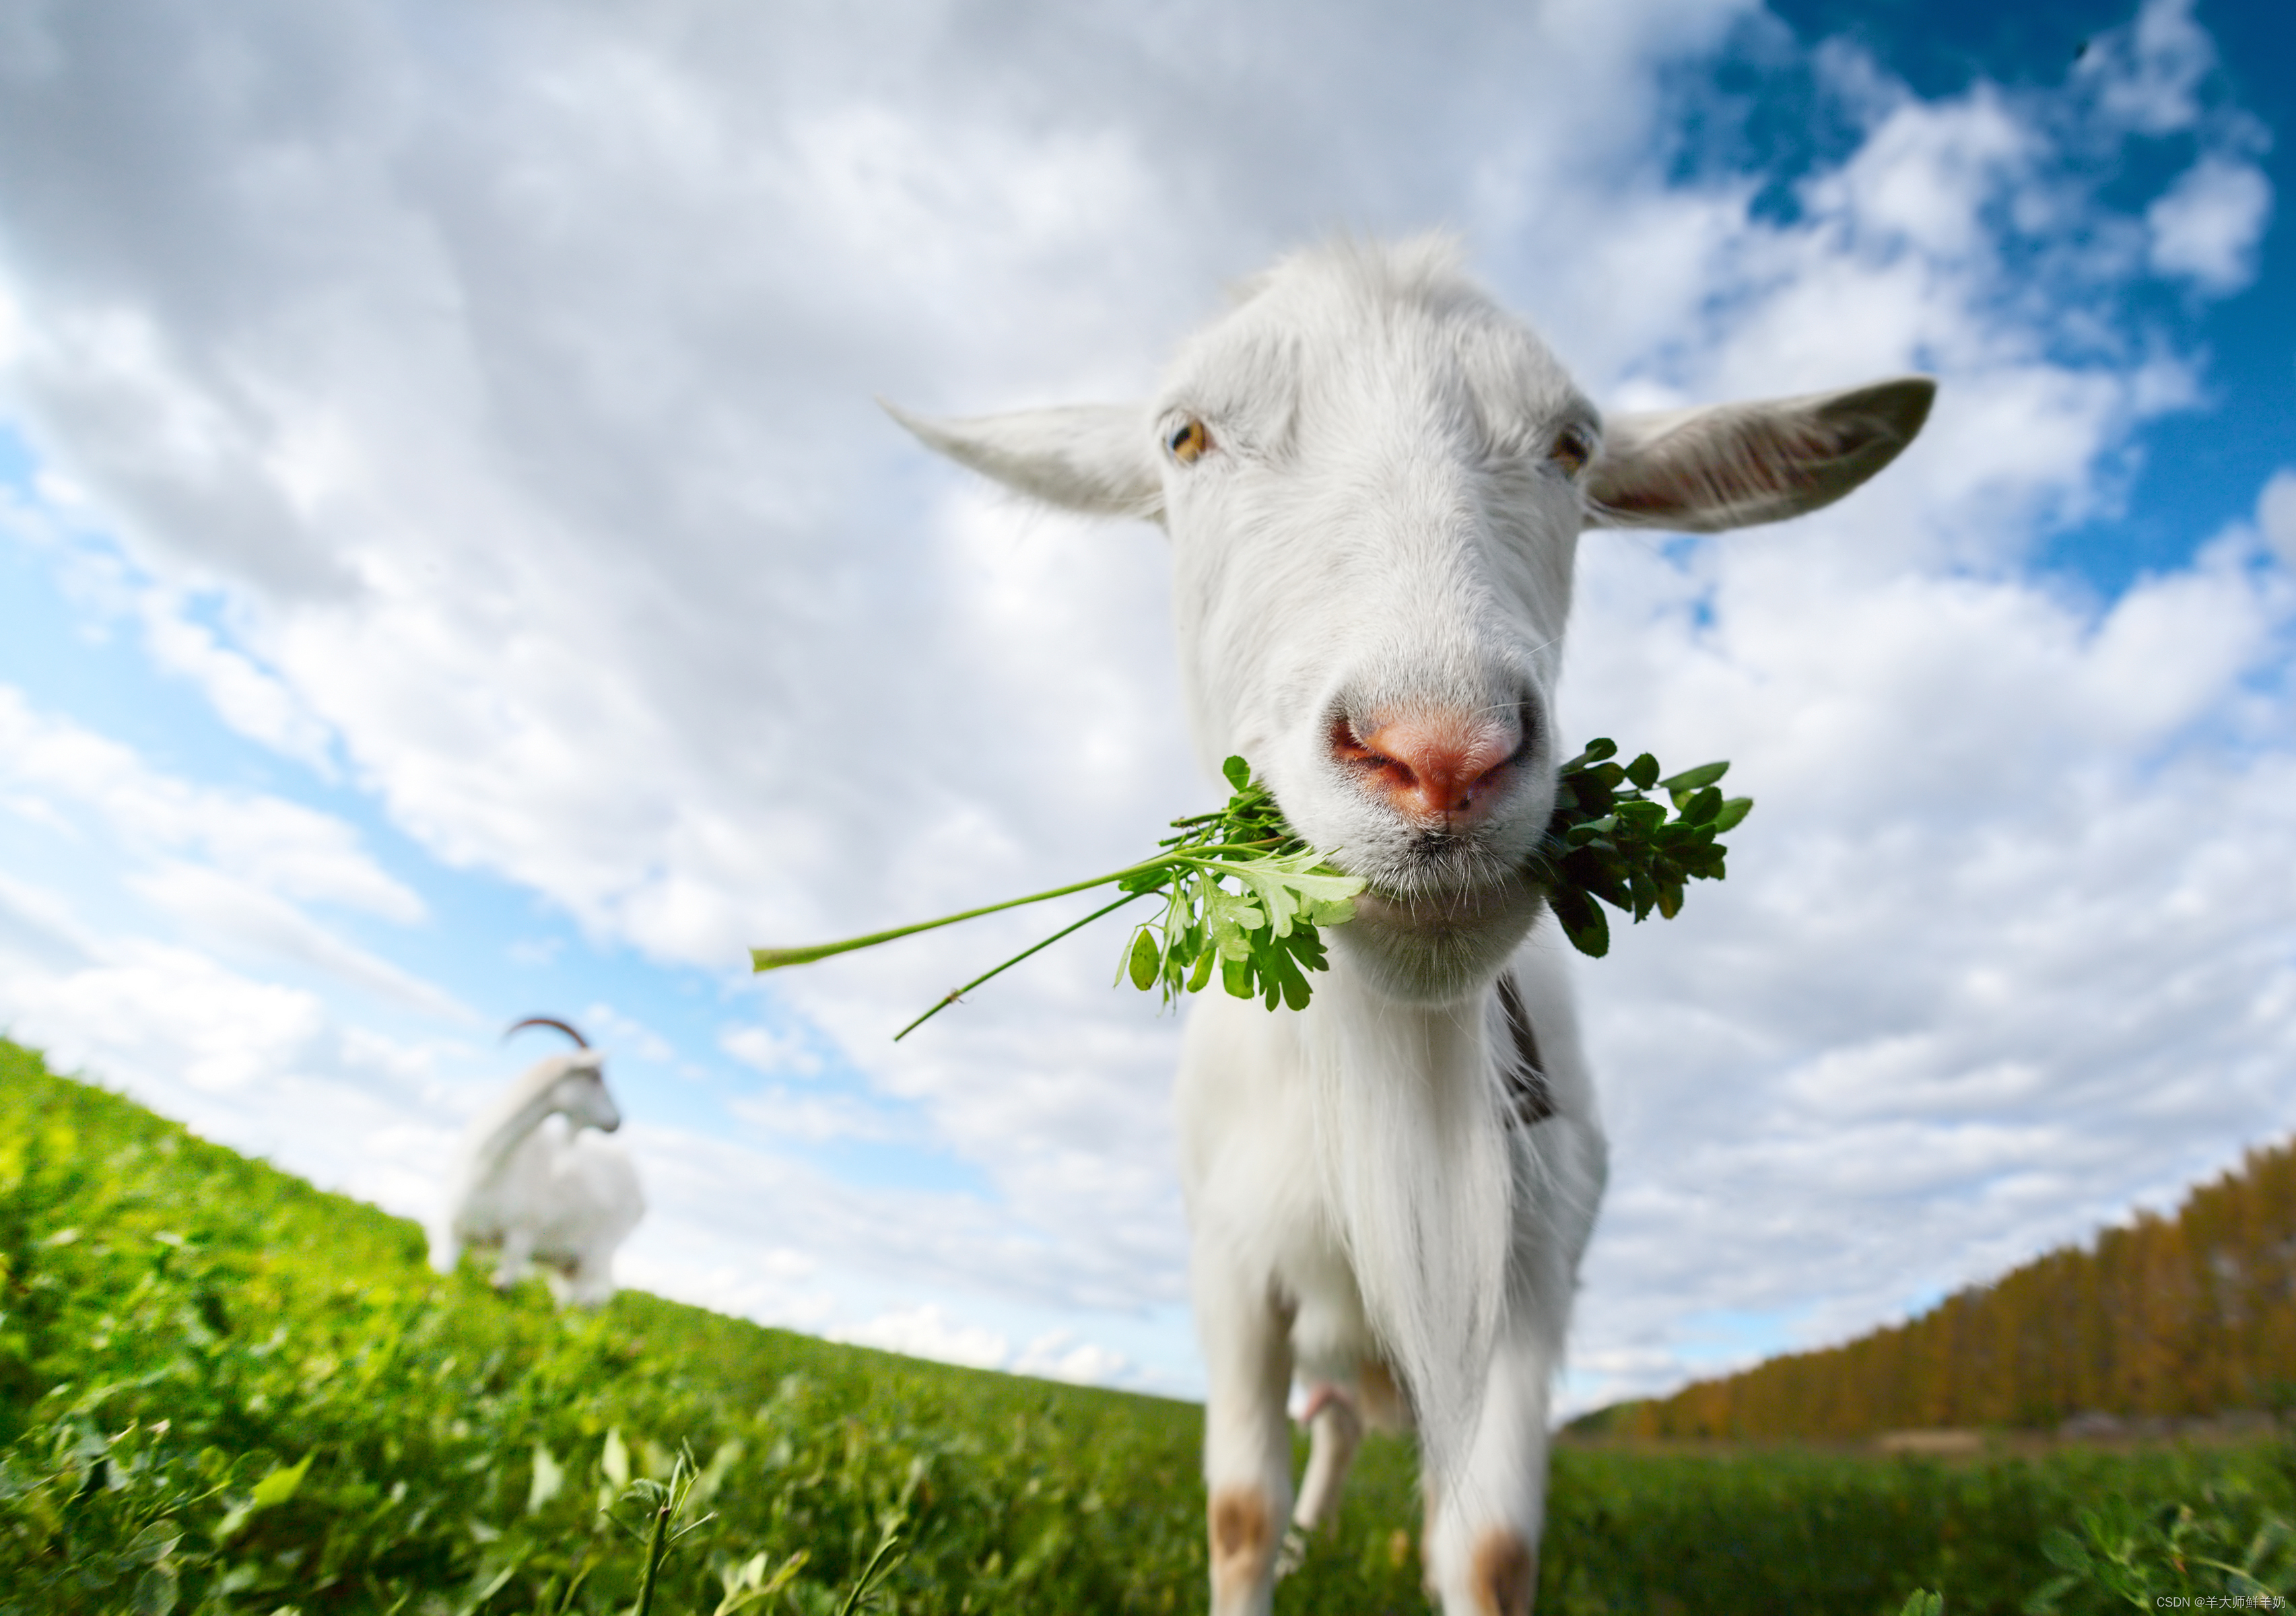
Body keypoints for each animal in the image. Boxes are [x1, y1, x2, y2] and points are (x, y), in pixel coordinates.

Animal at [432, 1014, 642, 1304]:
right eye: (595, 1076)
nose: (617, 1121)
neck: (490, 1166)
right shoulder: (450, 1231)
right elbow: (441, 1278)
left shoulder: (522, 1236)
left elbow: (503, 1288)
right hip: (568, 1266)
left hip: (600, 1252)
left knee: (594, 1300)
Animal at [895, 240, 1938, 1616]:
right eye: (1183, 436)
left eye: (1571, 445)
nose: (1439, 758)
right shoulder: (1229, 1267)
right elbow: (1236, 1511)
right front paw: (1273, 1545)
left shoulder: (1530, 1275)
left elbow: (1488, 1549)